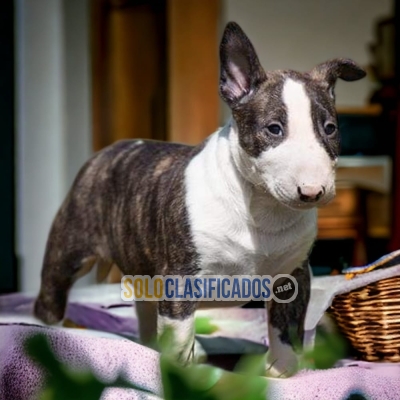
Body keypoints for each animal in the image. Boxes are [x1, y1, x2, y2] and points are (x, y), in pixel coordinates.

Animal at [35, 21, 366, 378]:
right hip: (68, 250)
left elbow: (286, 326)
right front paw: (182, 376)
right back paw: (47, 335)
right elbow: (180, 336)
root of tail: (108, 150)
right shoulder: (180, 278)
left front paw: (282, 368)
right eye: (274, 129)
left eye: (330, 129)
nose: (312, 192)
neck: (262, 208)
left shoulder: (292, 274)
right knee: (50, 297)